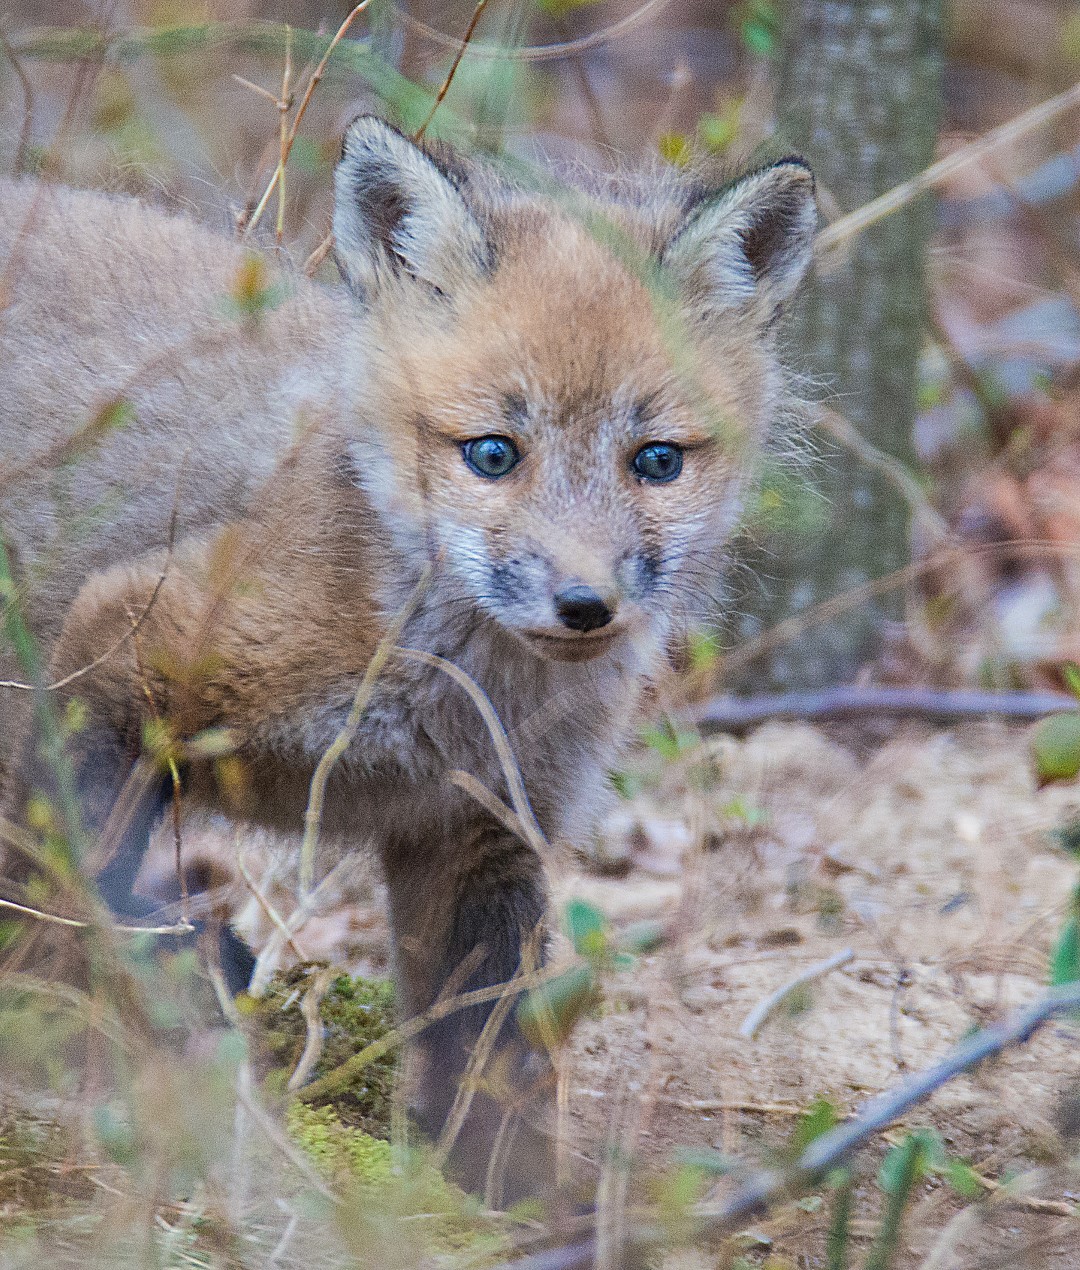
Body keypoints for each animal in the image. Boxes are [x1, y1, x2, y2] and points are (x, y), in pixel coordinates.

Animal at [0, 116, 816, 1203]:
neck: (447, 702)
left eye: (657, 461)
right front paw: (72, 1034)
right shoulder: (121, 645)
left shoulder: (483, 825)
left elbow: (488, 1050)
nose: (585, 605)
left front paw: (503, 1201)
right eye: (492, 453)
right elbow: (76, 890)